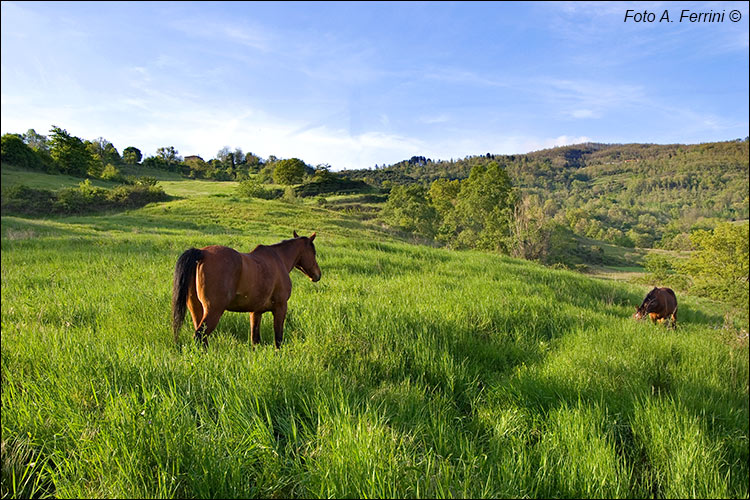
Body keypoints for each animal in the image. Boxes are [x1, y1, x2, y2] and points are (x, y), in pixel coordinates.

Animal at [172, 231, 322, 346]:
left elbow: (255, 339)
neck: (279, 259)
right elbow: (278, 338)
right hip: (213, 311)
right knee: (199, 336)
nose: (317, 275)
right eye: (314, 252)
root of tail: (202, 253)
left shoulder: (256, 312)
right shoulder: (280, 307)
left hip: (196, 309)